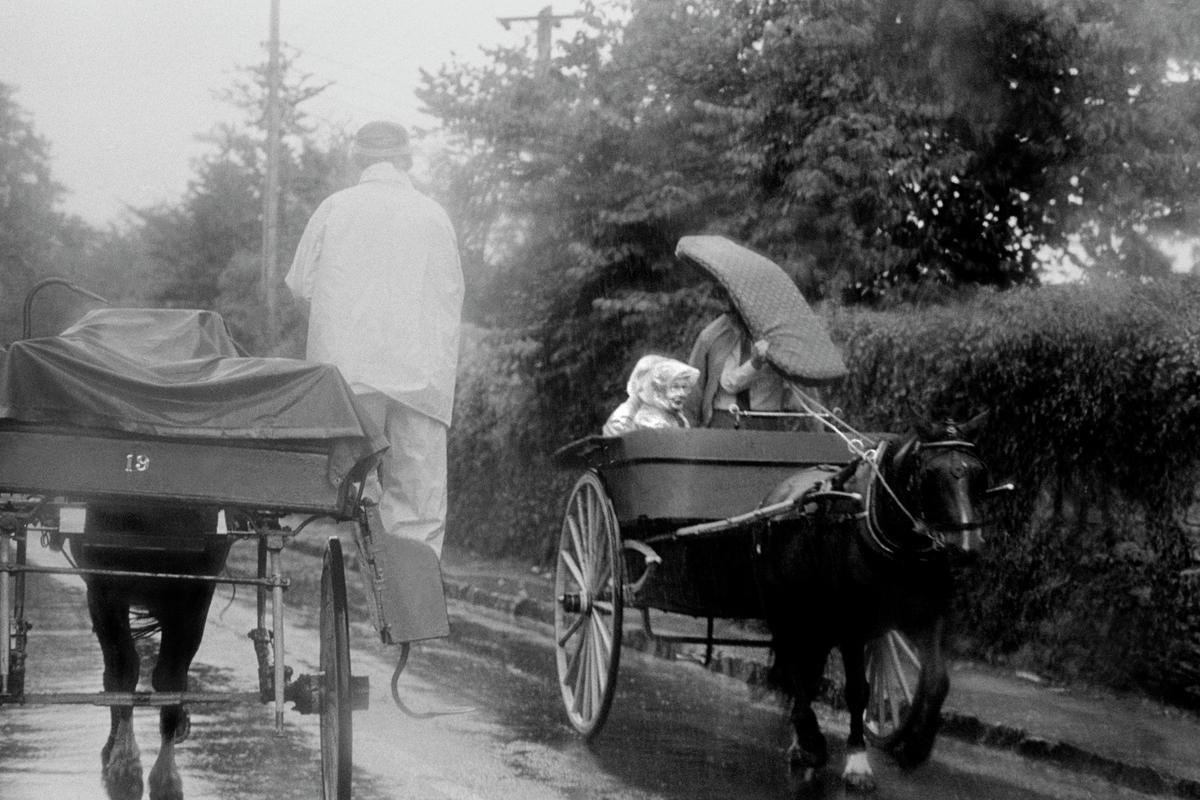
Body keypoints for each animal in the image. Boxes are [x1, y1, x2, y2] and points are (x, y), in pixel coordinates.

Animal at [71, 506, 230, 800]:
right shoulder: (105, 589)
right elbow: (124, 671)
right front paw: (125, 769)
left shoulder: (194, 595)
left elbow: (170, 680)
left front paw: (166, 779)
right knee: (113, 671)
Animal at [758, 417, 993, 791]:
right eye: (930, 474)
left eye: (979, 473)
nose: (967, 545)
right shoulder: (852, 626)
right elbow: (858, 691)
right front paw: (857, 760)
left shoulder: (927, 617)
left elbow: (937, 681)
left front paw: (914, 747)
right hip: (785, 611)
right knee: (795, 667)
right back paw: (810, 741)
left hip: (818, 620)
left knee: (808, 672)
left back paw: (802, 741)